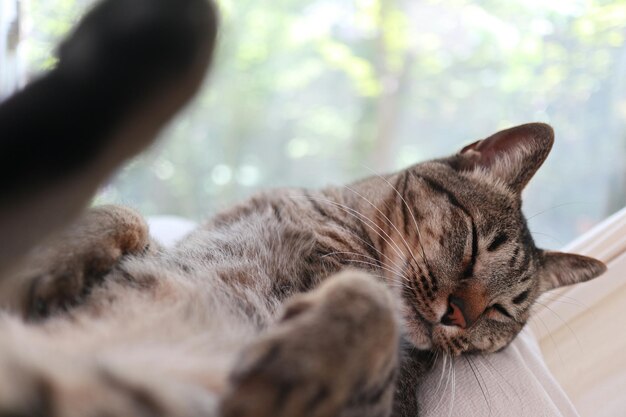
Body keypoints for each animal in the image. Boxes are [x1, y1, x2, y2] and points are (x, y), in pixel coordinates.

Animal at [0, 121, 604, 416]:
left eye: (500, 312)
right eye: (476, 245)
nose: (459, 314)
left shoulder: (388, 406)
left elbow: (369, 300)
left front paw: (298, 366)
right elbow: (123, 213)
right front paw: (46, 266)